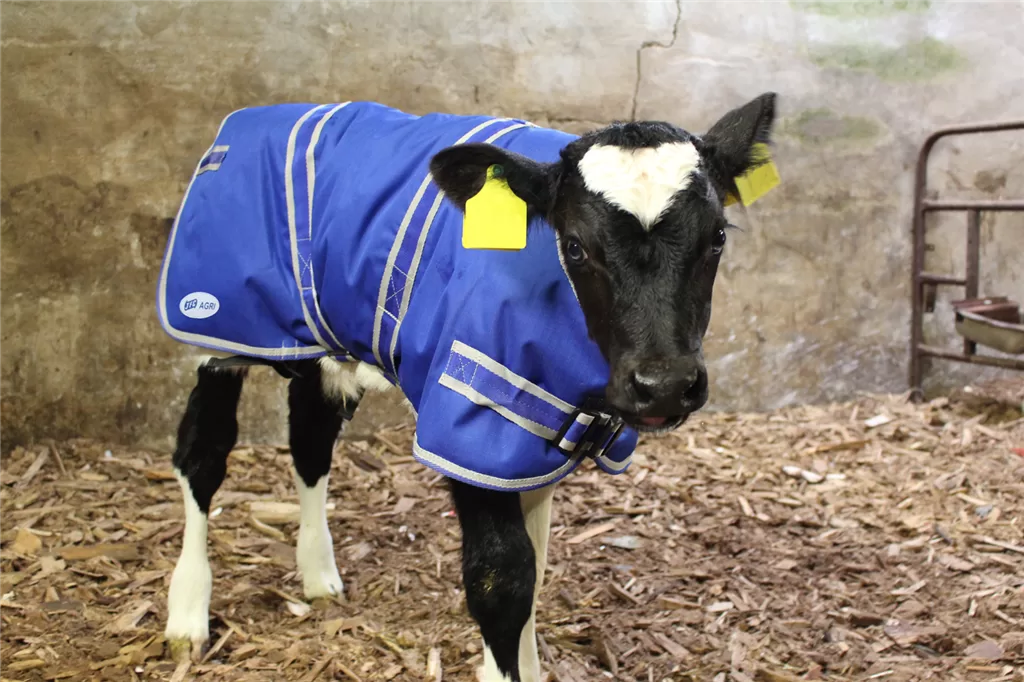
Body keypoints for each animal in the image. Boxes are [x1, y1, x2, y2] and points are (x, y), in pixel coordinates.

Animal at [157, 93, 777, 682]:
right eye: (576, 246)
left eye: (717, 238)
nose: (664, 383)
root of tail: (252, 117)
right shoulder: (473, 421)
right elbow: (502, 580)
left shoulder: (536, 431)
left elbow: (537, 565)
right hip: (217, 318)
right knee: (203, 452)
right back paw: (187, 615)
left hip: (322, 339)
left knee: (311, 437)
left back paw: (318, 577)